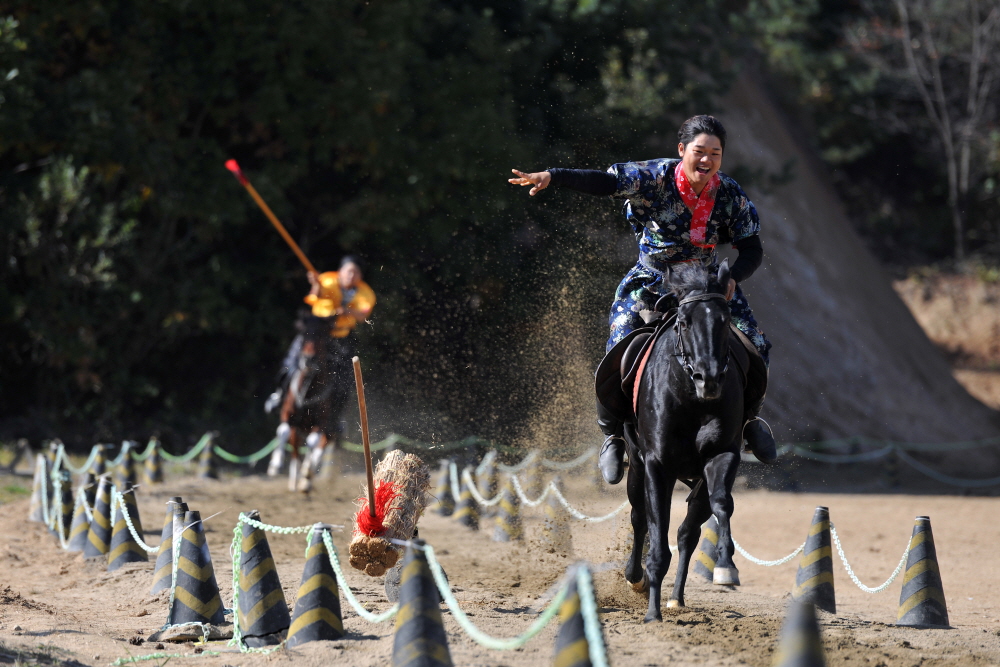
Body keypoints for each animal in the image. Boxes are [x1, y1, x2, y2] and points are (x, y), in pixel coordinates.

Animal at [268, 316, 354, 494]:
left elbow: (314, 442)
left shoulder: (322, 423)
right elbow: (283, 431)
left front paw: (306, 475)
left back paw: (306, 478)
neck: (308, 388)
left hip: (330, 428)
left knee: (320, 444)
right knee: (295, 447)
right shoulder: (288, 415)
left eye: (321, 336)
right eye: (303, 335)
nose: (308, 359)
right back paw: (295, 479)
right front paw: (275, 465)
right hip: (299, 428)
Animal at [624, 258, 752, 624]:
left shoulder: (722, 455)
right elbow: (655, 531)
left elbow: (721, 504)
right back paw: (636, 577)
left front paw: (726, 565)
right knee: (639, 517)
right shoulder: (656, 464)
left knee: (687, 532)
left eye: (724, 321)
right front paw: (651, 613)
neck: (691, 398)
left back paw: (676, 598)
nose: (709, 379)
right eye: (684, 321)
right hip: (635, 463)